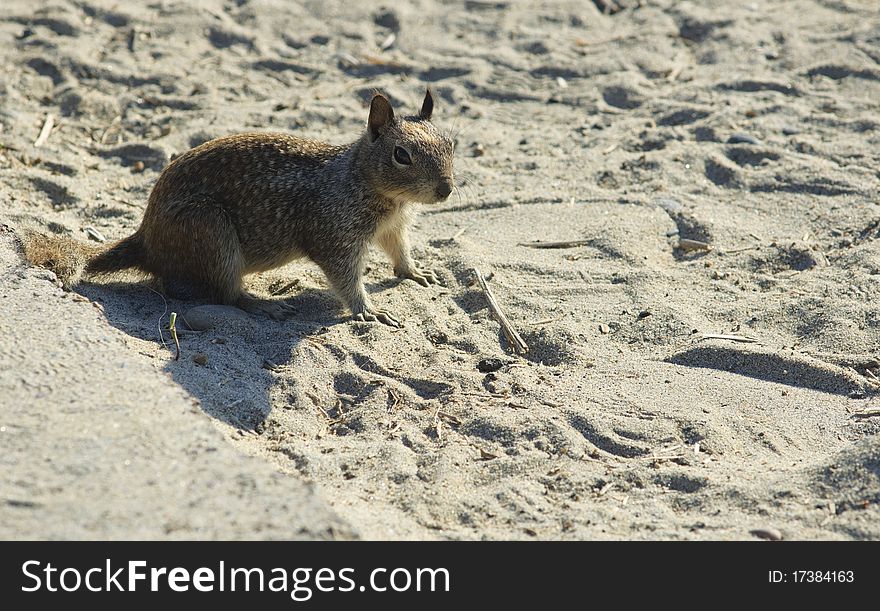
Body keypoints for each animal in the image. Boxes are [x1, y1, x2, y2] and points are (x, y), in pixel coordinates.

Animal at [20, 89, 454, 328]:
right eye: (401, 155)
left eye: (451, 143)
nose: (446, 189)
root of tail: (146, 241)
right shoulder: (334, 236)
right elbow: (346, 278)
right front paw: (367, 311)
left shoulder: (393, 227)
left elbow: (400, 252)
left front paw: (415, 272)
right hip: (212, 235)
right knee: (225, 295)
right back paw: (261, 305)